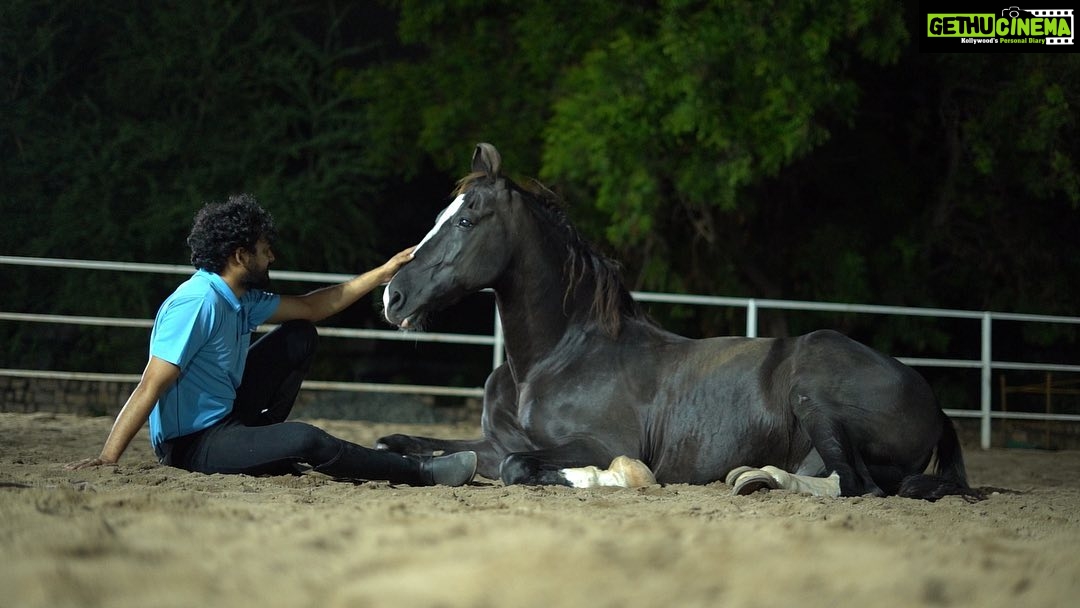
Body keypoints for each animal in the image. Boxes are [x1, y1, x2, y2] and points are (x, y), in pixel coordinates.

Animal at [378, 143, 979, 501]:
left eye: (467, 219)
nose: (393, 296)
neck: (553, 360)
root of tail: (932, 400)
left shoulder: (595, 442)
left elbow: (518, 468)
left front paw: (609, 477)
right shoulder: (494, 440)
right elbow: (404, 442)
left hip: (814, 395)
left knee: (855, 485)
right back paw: (749, 476)